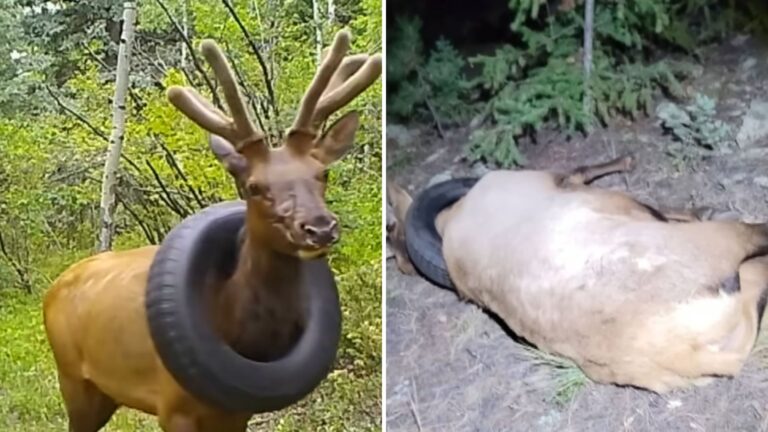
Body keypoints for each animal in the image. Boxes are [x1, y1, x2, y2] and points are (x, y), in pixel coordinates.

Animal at [43, 29, 381, 432]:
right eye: (254, 186)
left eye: (322, 173)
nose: (319, 227)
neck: (238, 329)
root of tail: (53, 288)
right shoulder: (174, 407)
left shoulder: (236, 411)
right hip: (73, 378)